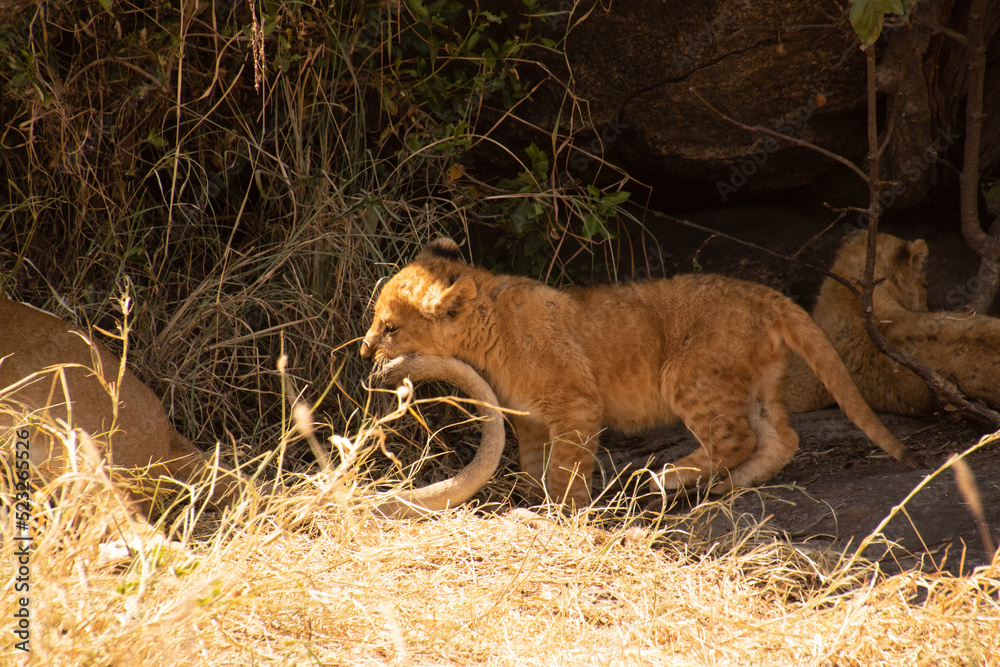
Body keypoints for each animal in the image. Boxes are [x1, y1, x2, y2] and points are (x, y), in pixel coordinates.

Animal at [360, 238, 921, 508]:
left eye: (390, 327)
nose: (365, 353)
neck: (489, 327)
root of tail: (766, 295)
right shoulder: (531, 418)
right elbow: (534, 465)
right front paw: (540, 501)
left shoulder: (576, 406)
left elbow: (565, 469)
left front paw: (566, 512)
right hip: (757, 383)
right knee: (781, 438)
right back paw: (727, 487)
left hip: (688, 376)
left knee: (735, 437)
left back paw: (670, 477)